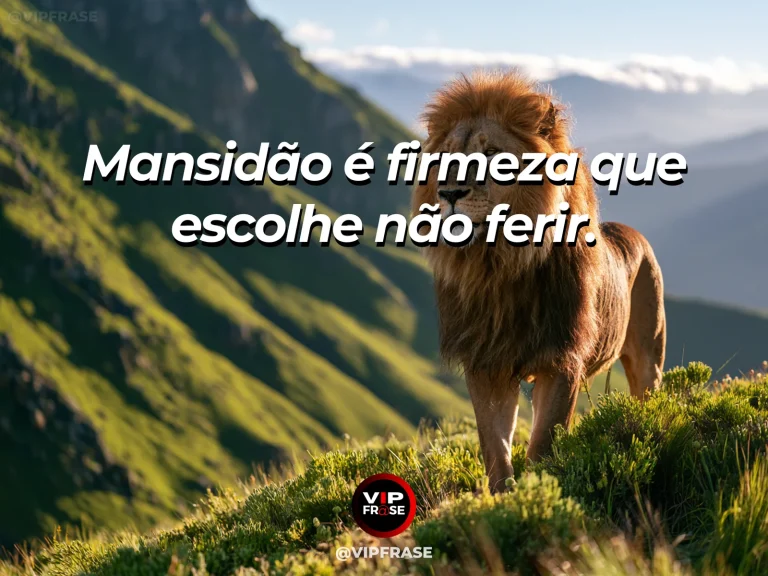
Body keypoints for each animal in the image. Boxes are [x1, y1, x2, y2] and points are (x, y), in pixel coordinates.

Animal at [413, 72, 666, 491]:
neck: (498, 265)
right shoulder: (486, 362)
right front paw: (506, 496)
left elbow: (544, 442)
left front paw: (538, 488)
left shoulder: (561, 360)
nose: (448, 193)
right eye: (445, 157)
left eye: (491, 153)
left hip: (649, 357)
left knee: (648, 395)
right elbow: (495, 447)